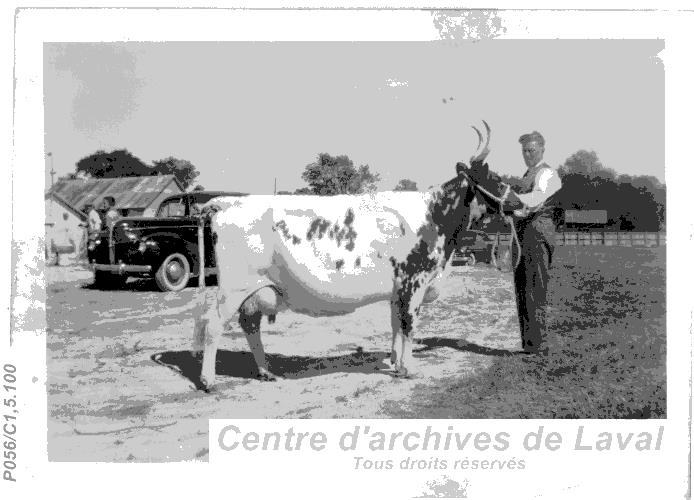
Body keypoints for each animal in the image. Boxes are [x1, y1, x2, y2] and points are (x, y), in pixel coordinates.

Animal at [192, 123, 500, 388]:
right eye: (495, 178)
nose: (513, 200)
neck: (434, 216)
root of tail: (228, 202)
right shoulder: (414, 282)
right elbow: (409, 325)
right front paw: (410, 369)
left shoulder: (397, 289)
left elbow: (396, 325)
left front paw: (396, 364)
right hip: (233, 288)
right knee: (213, 325)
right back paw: (208, 381)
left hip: (254, 290)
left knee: (249, 325)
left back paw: (266, 372)